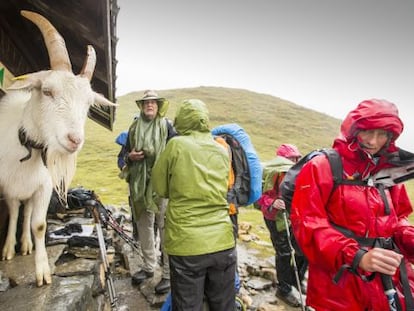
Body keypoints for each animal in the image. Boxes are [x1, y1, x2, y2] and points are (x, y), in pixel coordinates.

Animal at [0, 10, 116, 288]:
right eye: (46, 90)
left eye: (88, 103)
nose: (74, 139)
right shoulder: (6, 186)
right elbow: (13, 214)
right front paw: (10, 250)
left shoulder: (43, 186)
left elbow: (39, 225)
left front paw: (42, 272)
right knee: (16, 210)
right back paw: (12, 247)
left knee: (27, 213)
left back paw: (26, 244)